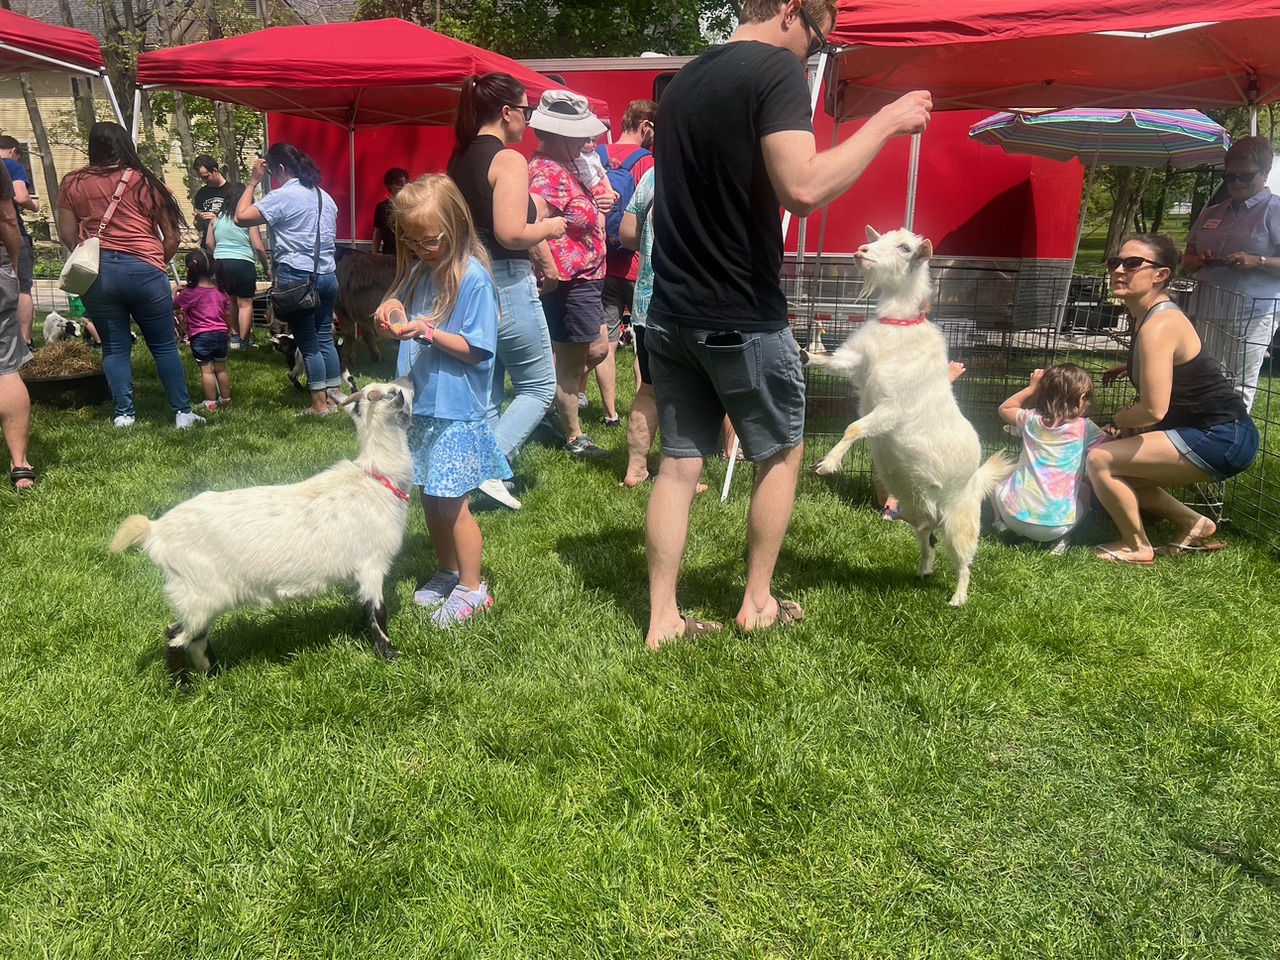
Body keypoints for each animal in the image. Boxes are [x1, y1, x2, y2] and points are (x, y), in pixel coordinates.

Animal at [109, 378, 416, 682]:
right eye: (394, 392)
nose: (408, 380)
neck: (378, 478)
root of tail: (154, 529)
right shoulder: (372, 563)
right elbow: (377, 611)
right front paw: (389, 653)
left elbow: (364, 608)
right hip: (198, 591)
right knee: (176, 635)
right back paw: (182, 686)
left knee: (195, 637)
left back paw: (214, 675)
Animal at [803, 227, 1013, 606]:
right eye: (879, 237)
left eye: (904, 247)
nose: (861, 250)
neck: (899, 325)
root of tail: (976, 481)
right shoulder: (858, 363)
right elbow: (831, 363)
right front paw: (804, 355)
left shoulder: (892, 406)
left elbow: (855, 426)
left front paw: (827, 464)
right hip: (916, 511)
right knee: (928, 539)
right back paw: (924, 571)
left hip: (960, 518)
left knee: (965, 560)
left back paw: (958, 598)